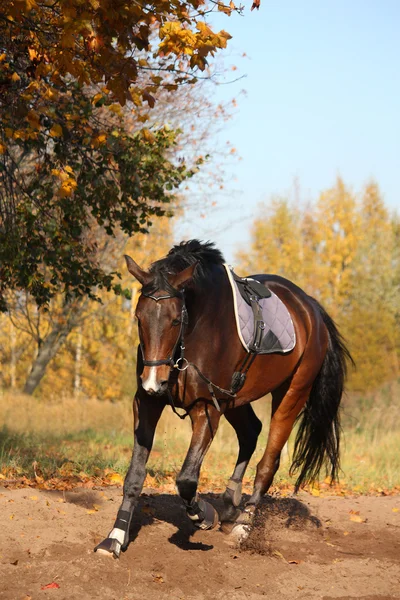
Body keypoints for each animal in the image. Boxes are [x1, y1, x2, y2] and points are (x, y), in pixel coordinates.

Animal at [95, 239, 352, 556]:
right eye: (138, 318)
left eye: (175, 320)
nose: (154, 381)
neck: (193, 332)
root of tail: (310, 308)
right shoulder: (147, 402)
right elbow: (134, 475)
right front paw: (116, 537)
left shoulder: (206, 409)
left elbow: (187, 479)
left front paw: (203, 515)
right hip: (235, 398)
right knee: (250, 431)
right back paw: (231, 506)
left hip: (291, 394)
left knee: (267, 464)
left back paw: (244, 525)